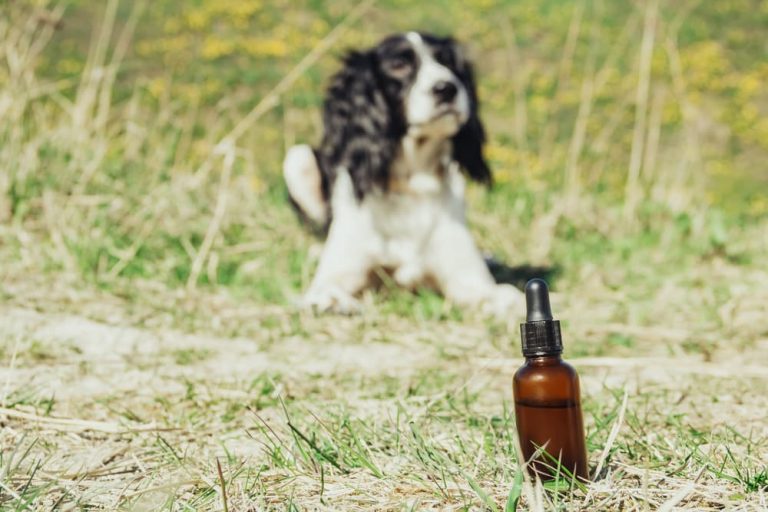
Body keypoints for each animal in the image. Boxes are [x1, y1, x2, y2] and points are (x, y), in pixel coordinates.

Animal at [284, 32, 524, 314]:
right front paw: (333, 301)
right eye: (399, 66)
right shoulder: (340, 270)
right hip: (297, 158)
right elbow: (325, 290)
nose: (447, 88)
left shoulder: (469, 279)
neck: (411, 183)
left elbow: (507, 295)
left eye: (448, 62)